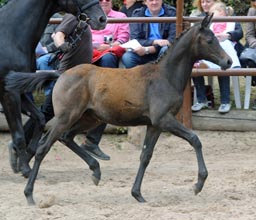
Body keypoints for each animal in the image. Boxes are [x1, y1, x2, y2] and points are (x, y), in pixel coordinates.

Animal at [0, 0, 106, 177]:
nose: (102, 19)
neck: (11, 36)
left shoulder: (20, 90)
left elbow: (40, 118)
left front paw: (28, 156)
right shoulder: (9, 93)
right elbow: (19, 135)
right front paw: (26, 169)